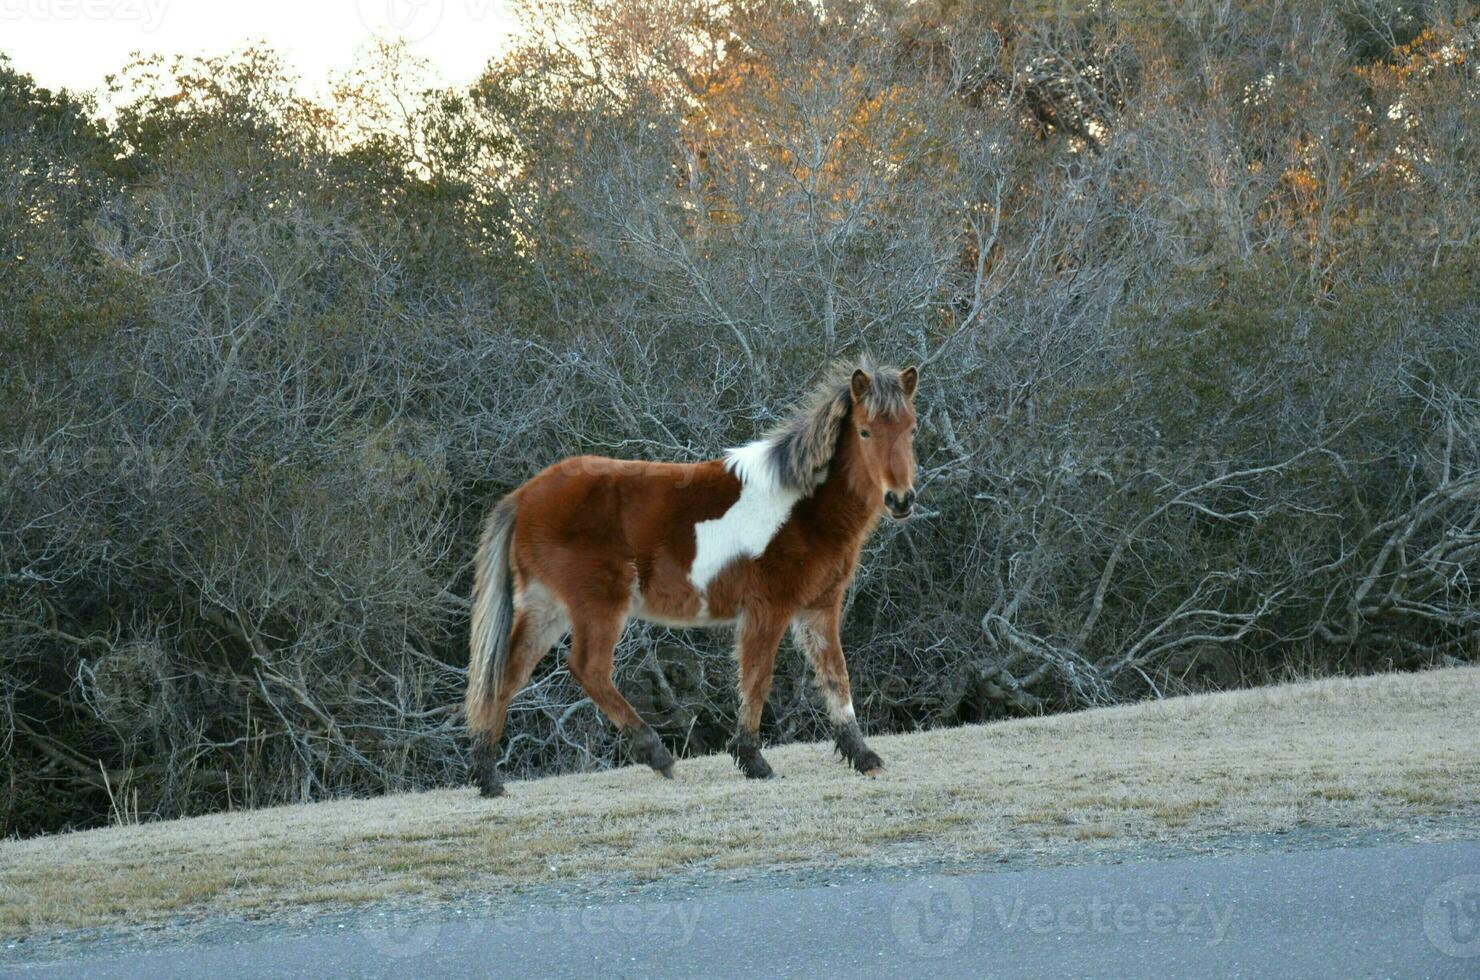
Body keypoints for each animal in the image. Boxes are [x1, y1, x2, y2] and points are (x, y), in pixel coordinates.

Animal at [467, 361, 917, 799]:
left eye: (911, 428)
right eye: (865, 431)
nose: (901, 500)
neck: (800, 509)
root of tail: (523, 498)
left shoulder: (820, 608)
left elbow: (836, 675)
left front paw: (864, 757)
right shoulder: (769, 610)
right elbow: (758, 678)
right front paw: (753, 761)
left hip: (548, 609)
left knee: (506, 674)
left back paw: (489, 779)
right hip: (597, 607)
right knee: (588, 669)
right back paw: (658, 756)